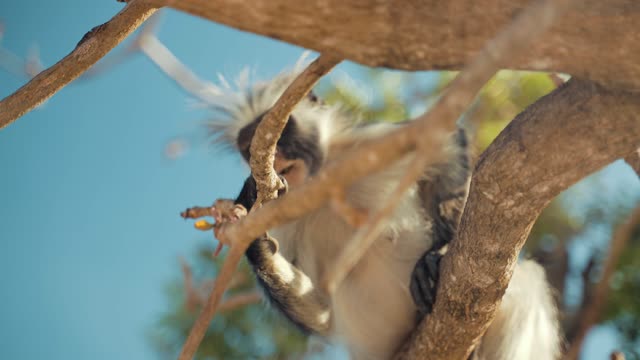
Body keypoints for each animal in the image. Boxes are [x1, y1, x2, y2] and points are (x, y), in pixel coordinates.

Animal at [205, 64, 560, 360]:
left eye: (283, 130)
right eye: (249, 147)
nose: (273, 156)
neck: (321, 188)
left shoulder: (363, 146)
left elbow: (442, 143)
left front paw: (438, 253)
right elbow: (322, 313)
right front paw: (250, 232)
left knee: (527, 281)